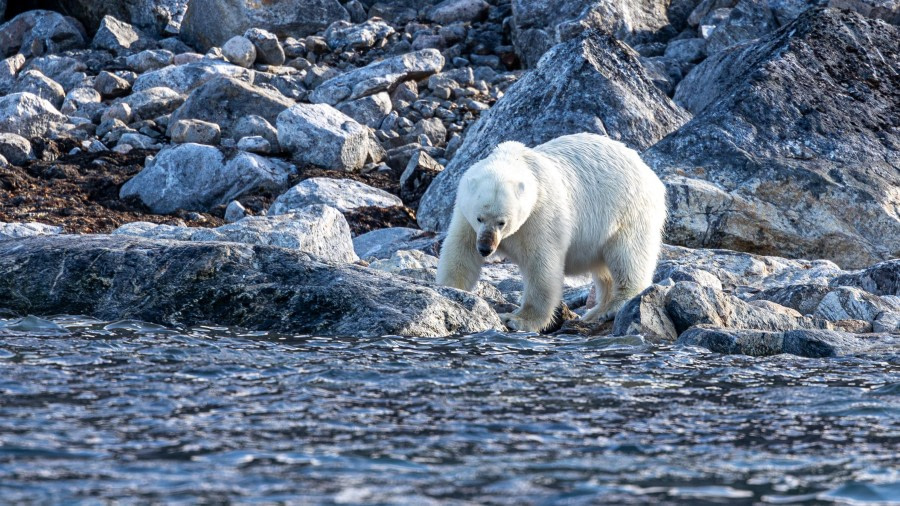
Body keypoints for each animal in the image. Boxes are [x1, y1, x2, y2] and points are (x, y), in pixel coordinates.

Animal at [436, 132, 668, 334]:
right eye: (479, 218)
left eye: (502, 222)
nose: (485, 248)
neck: (515, 159)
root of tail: (649, 173)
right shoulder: (464, 214)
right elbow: (461, 251)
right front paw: (450, 291)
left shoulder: (540, 214)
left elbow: (541, 266)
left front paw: (516, 319)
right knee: (605, 270)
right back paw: (596, 311)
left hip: (629, 210)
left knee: (627, 256)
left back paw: (614, 306)